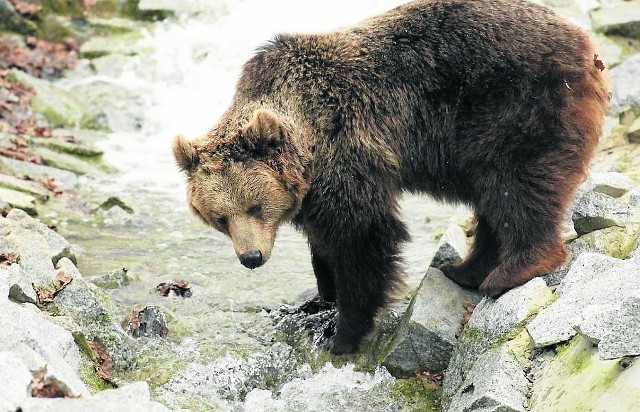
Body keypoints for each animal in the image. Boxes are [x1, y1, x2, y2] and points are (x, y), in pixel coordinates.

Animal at [172, 0, 608, 354]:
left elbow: (362, 235)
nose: (251, 258)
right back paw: (467, 269)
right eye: (220, 218)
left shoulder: (345, 149)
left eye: (255, 206)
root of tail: (585, 43)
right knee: (493, 196)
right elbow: (323, 244)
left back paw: (510, 271)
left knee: (518, 185)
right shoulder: (312, 188)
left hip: (515, 105)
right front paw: (320, 298)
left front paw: (343, 333)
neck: (306, 138)